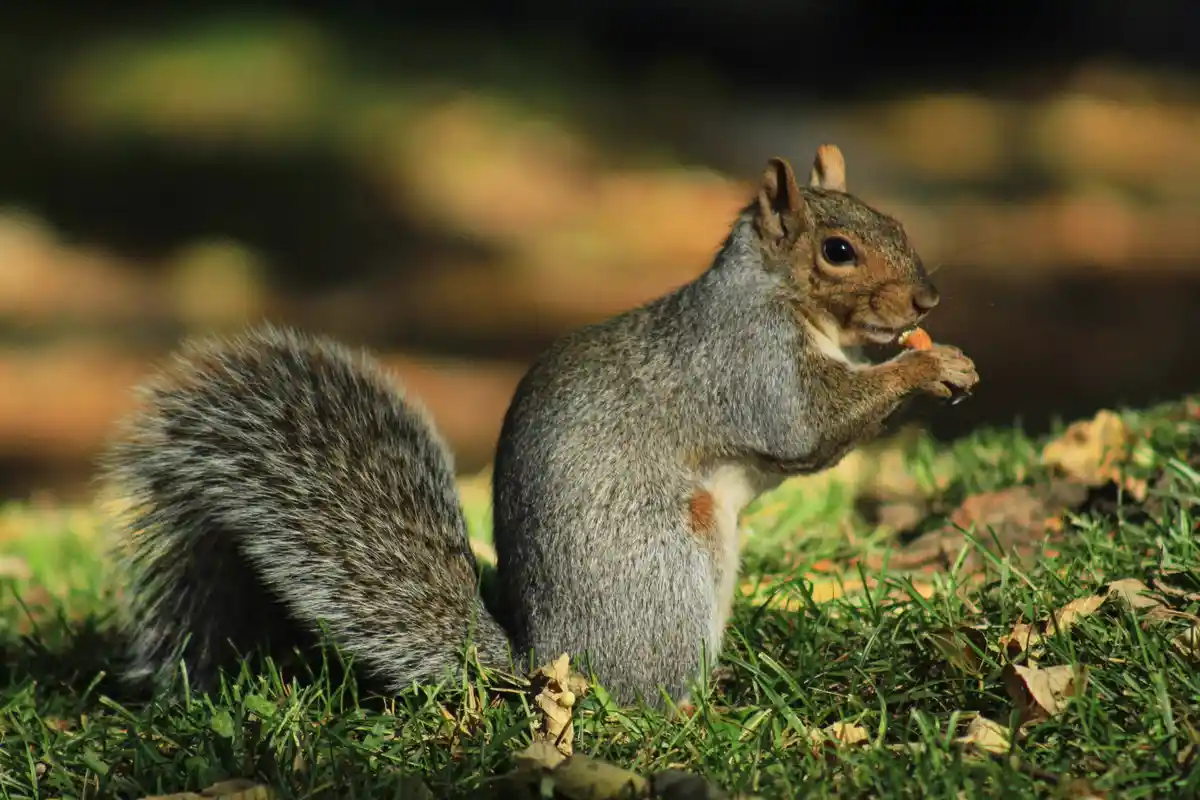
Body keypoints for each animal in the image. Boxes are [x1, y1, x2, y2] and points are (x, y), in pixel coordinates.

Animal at [101, 144, 978, 709]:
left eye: (893, 221)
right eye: (839, 249)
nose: (927, 301)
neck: (778, 298)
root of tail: (545, 664)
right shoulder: (750, 366)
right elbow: (810, 428)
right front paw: (926, 366)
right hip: (670, 566)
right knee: (644, 698)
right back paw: (704, 703)